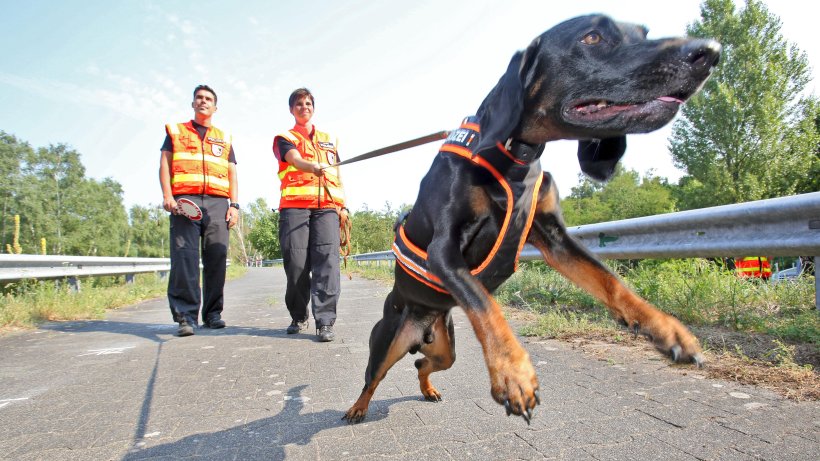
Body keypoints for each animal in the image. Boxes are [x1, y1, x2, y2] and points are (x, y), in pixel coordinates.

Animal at [342, 14, 720, 422]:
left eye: (643, 33)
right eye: (592, 37)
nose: (709, 52)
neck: (514, 155)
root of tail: (420, 323)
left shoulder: (554, 236)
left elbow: (610, 281)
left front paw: (668, 330)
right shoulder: (443, 249)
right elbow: (486, 306)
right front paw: (514, 374)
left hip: (444, 347)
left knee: (422, 365)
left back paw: (429, 389)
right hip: (387, 341)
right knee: (373, 378)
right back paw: (357, 408)